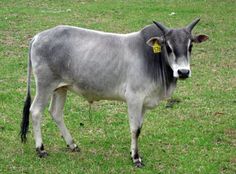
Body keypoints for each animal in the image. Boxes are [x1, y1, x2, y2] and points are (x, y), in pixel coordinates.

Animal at [21, 18, 207, 167]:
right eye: (168, 47)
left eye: (190, 46)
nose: (183, 72)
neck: (151, 57)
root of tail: (38, 36)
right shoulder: (134, 98)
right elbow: (135, 129)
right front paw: (136, 158)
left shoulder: (144, 103)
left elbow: (139, 127)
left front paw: (133, 153)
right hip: (45, 85)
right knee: (36, 111)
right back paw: (40, 149)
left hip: (60, 88)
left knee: (56, 113)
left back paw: (72, 144)